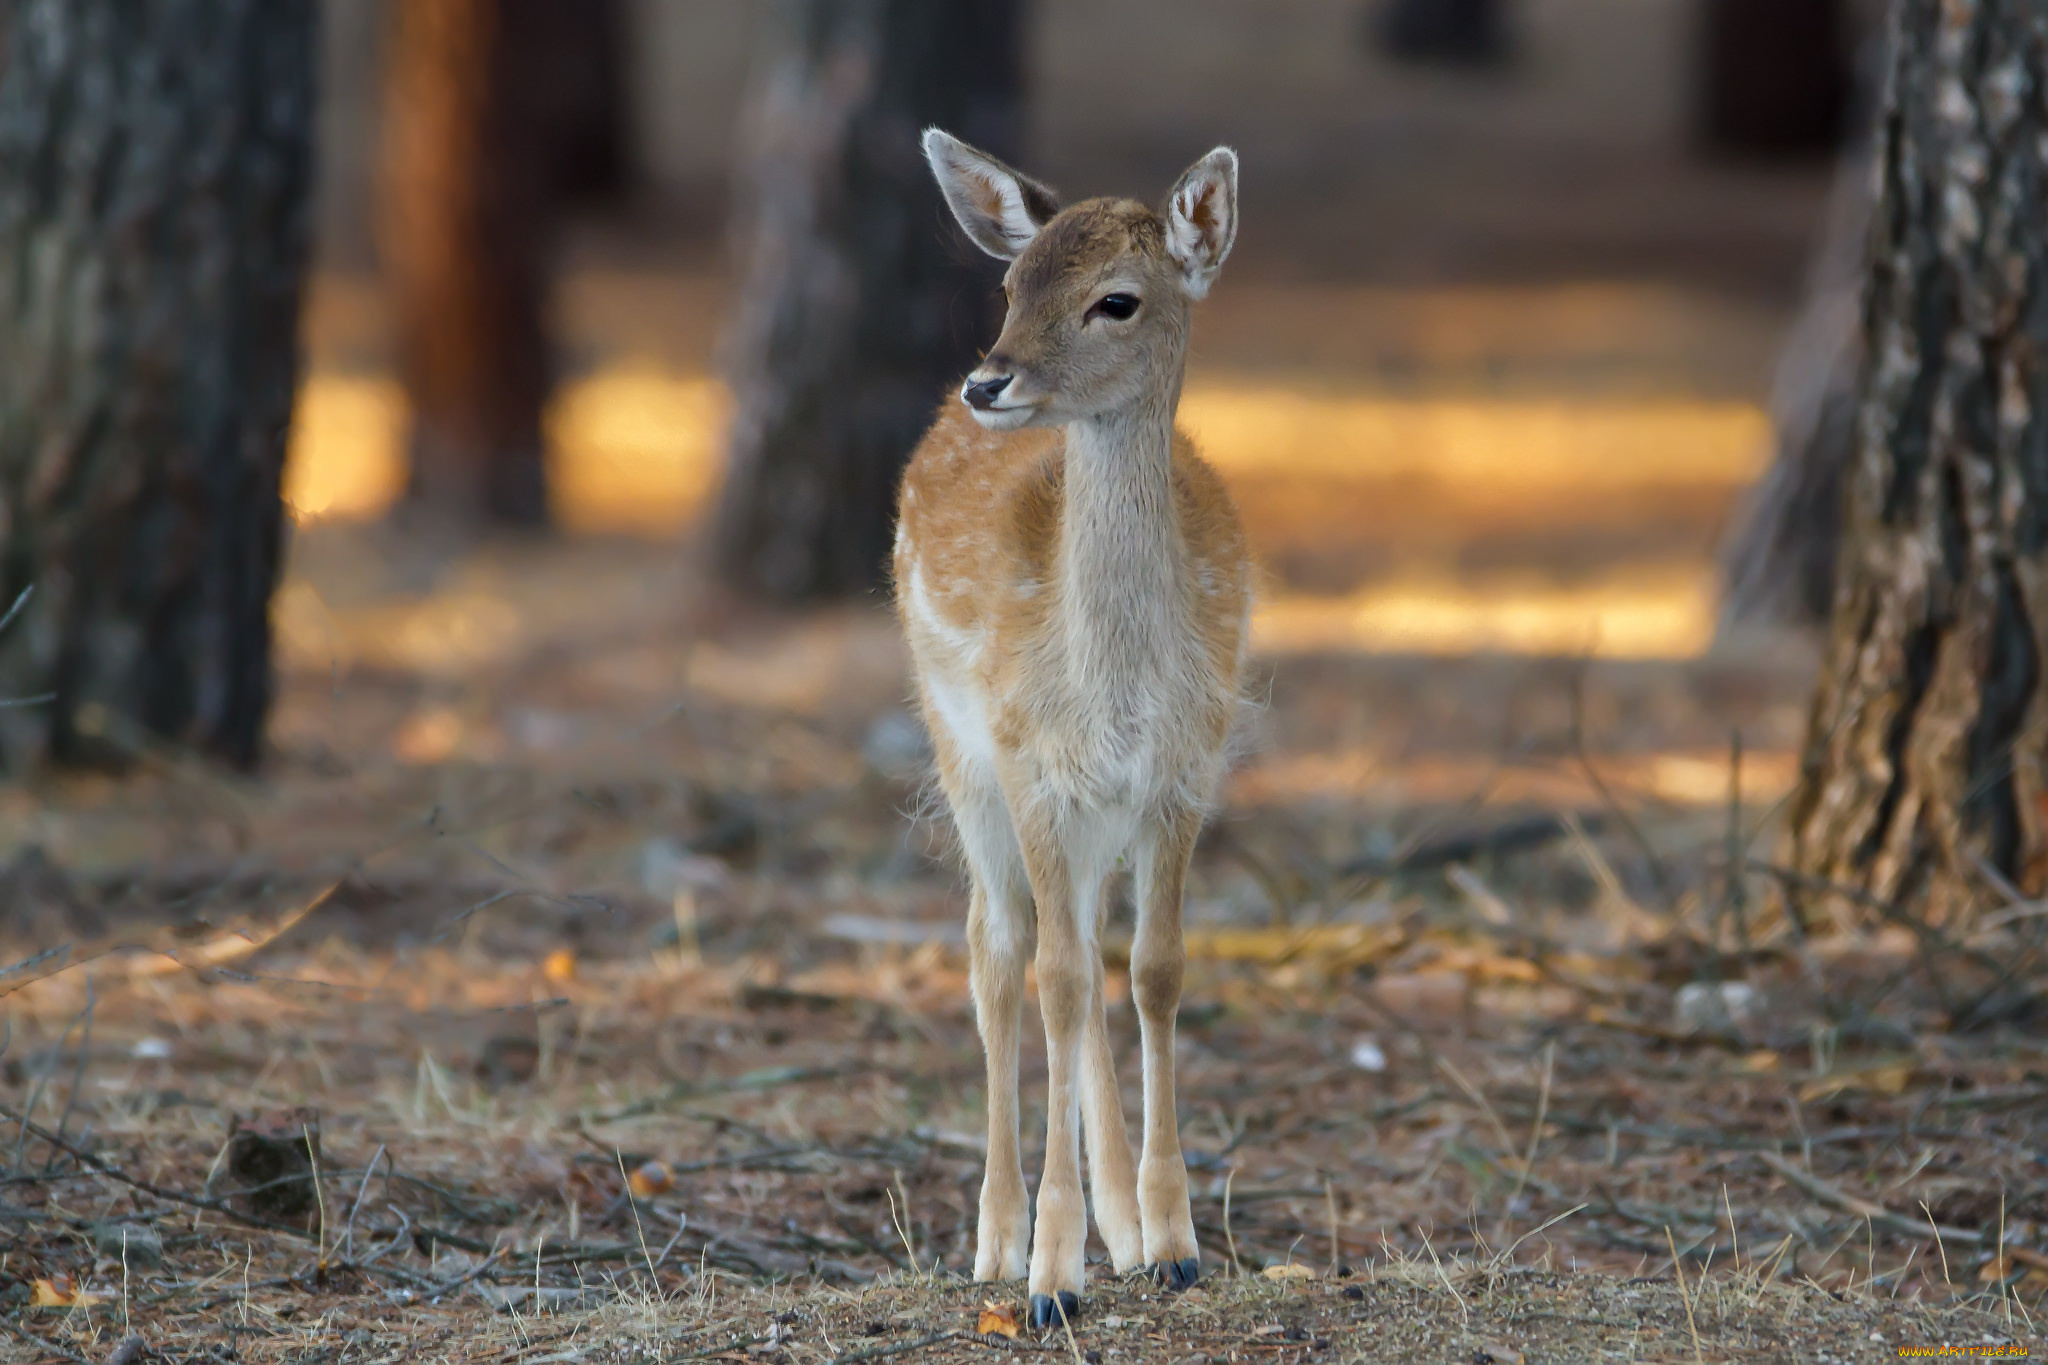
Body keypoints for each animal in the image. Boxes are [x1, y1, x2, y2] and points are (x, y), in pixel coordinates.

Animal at [897, 133, 1245, 1326]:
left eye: (1116, 299)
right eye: (1009, 284)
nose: (987, 379)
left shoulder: (1184, 770)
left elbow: (1155, 969)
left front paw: (1173, 1242)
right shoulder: (1029, 760)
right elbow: (1047, 977)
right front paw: (1052, 1276)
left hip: (1091, 811)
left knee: (1086, 949)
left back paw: (1123, 1231)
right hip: (957, 748)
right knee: (998, 950)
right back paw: (996, 1243)